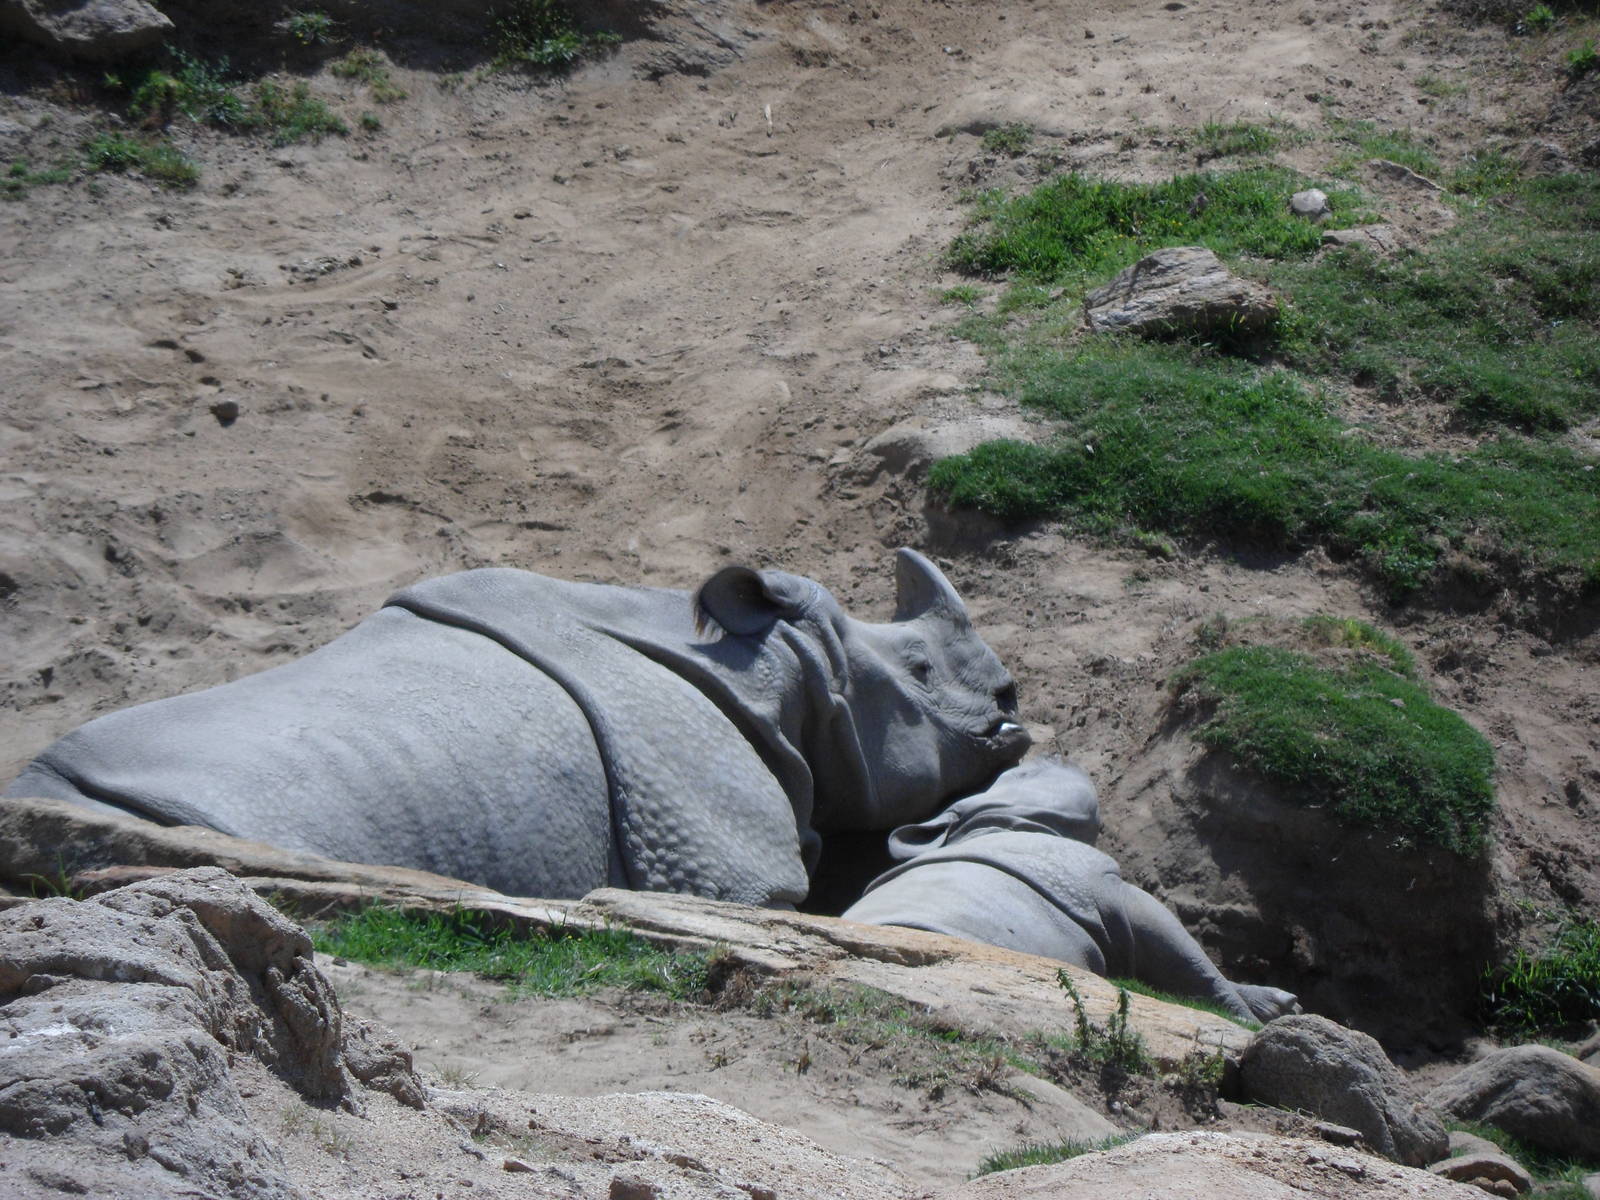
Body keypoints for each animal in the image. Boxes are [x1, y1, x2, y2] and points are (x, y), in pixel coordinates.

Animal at [842, 758, 1299, 1023]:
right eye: (1023, 773)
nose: (1053, 755)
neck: (995, 822)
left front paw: (1279, 1004)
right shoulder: (1098, 882)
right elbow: (1182, 953)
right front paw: (1249, 1021)